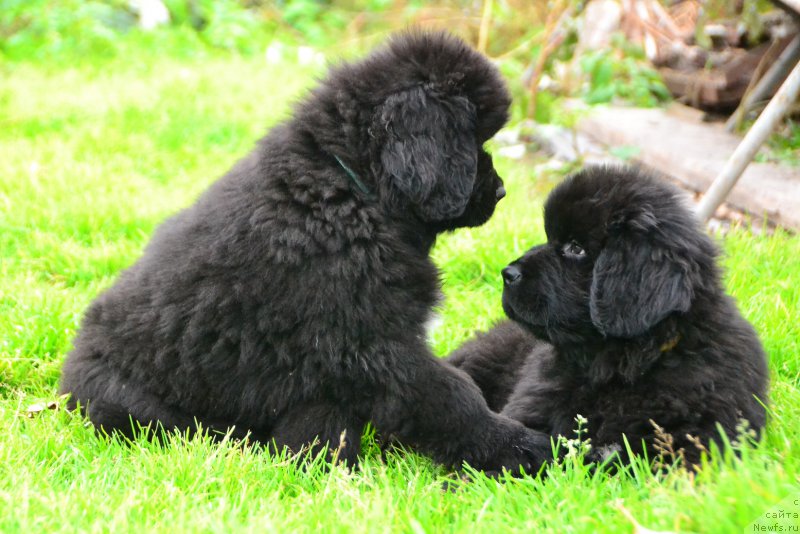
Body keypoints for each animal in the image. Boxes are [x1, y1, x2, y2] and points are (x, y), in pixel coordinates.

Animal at [59, 30, 552, 474]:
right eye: (473, 140)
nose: (501, 191)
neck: (349, 189)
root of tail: (68, 381)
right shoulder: (369, 342)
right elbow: (453, 395)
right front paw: (522, 448)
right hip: (132, 402)